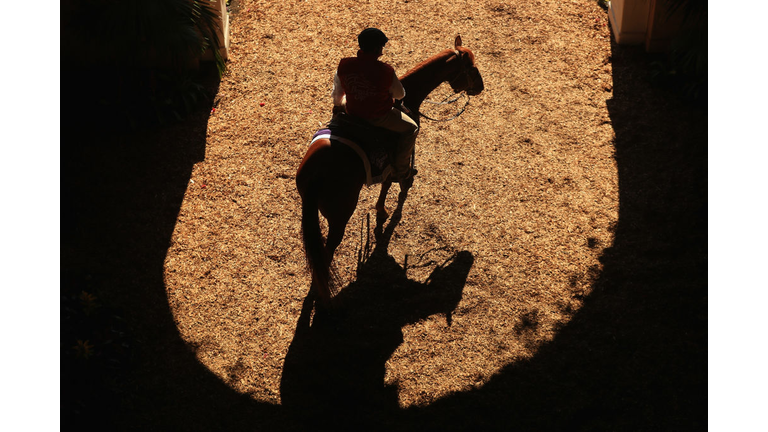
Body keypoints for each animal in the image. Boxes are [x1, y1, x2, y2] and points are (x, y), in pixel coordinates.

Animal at [296, 35, 484, 308]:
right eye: (471, 67)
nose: (480, 87)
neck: (408, 98)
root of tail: (316, 174)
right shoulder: (403, 147)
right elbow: (396, 181)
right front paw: (395, 198)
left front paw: (381, 209)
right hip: (339, 218)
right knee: (328, 252)